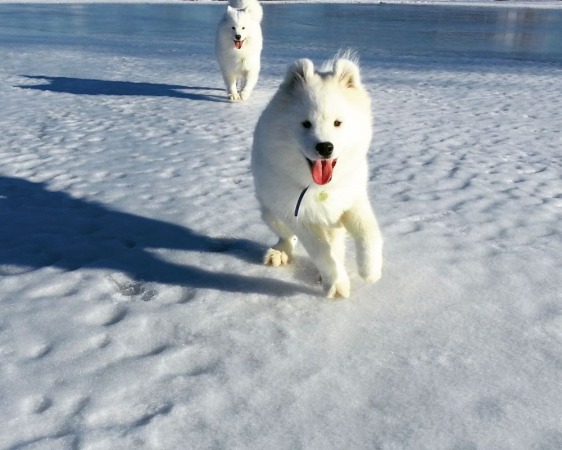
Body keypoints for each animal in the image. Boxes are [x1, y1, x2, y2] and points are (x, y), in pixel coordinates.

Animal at [252, 55, 382, 298]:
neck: (320, 188)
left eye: (338, 123)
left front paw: (370, 271)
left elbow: (368, 232)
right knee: (287, 236)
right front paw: (337, 285)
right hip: (271, 213)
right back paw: (279, 253)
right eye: (306, 123)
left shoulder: (352, 199)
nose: (325, 147)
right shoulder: (298, 216)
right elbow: (323, 252)